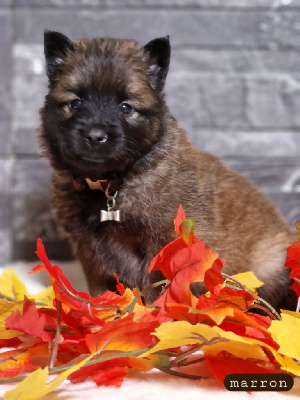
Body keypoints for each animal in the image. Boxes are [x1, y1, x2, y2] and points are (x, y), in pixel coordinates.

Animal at [38, 30, 296, 310]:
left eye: (126, 107)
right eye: (75, 103)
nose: (95, 136)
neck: (114, 184)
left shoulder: (164, 245)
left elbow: (156, 290)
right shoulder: (90, 250)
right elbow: (99, 291)